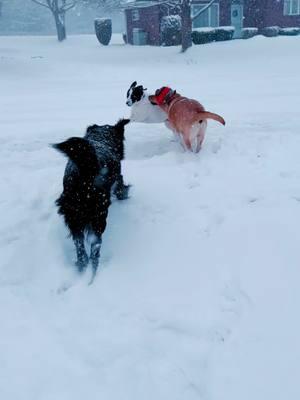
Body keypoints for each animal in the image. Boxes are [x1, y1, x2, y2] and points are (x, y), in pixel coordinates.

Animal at [53, 119, 130, 282]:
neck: (101, 138)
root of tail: (85, 170)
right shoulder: (118, 176)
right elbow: (121, 187)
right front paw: (125, 194)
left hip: (73, 216)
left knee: (79, 245)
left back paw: (82, 267)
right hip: (98, 216)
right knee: (95, 246)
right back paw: (93, 274)